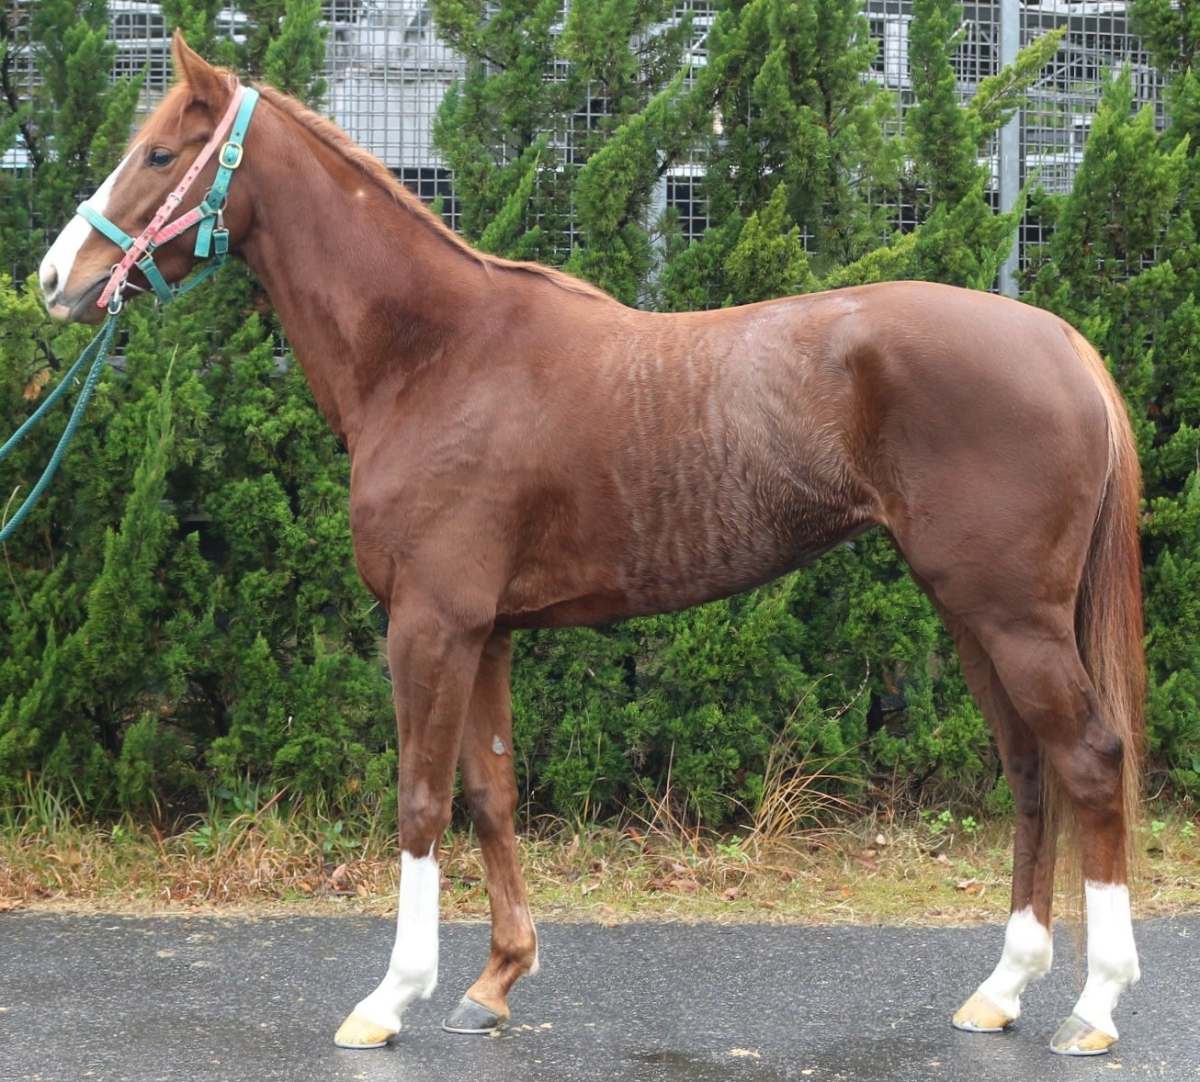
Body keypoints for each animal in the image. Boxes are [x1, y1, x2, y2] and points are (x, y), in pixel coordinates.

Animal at [39, 32, 1145, 1059]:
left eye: (159, 152)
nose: (57, 277)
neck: (434, 356)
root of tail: (1063, 342)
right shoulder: (485, 631)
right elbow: (490, 793)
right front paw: (494, 980)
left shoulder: (429, 625)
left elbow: (419, 801)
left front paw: (390, 999)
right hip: (972, 615)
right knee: (1030, 770)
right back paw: (1002, 988)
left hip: (1012, 616)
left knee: (1090, 759)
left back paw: (1093, 1008)